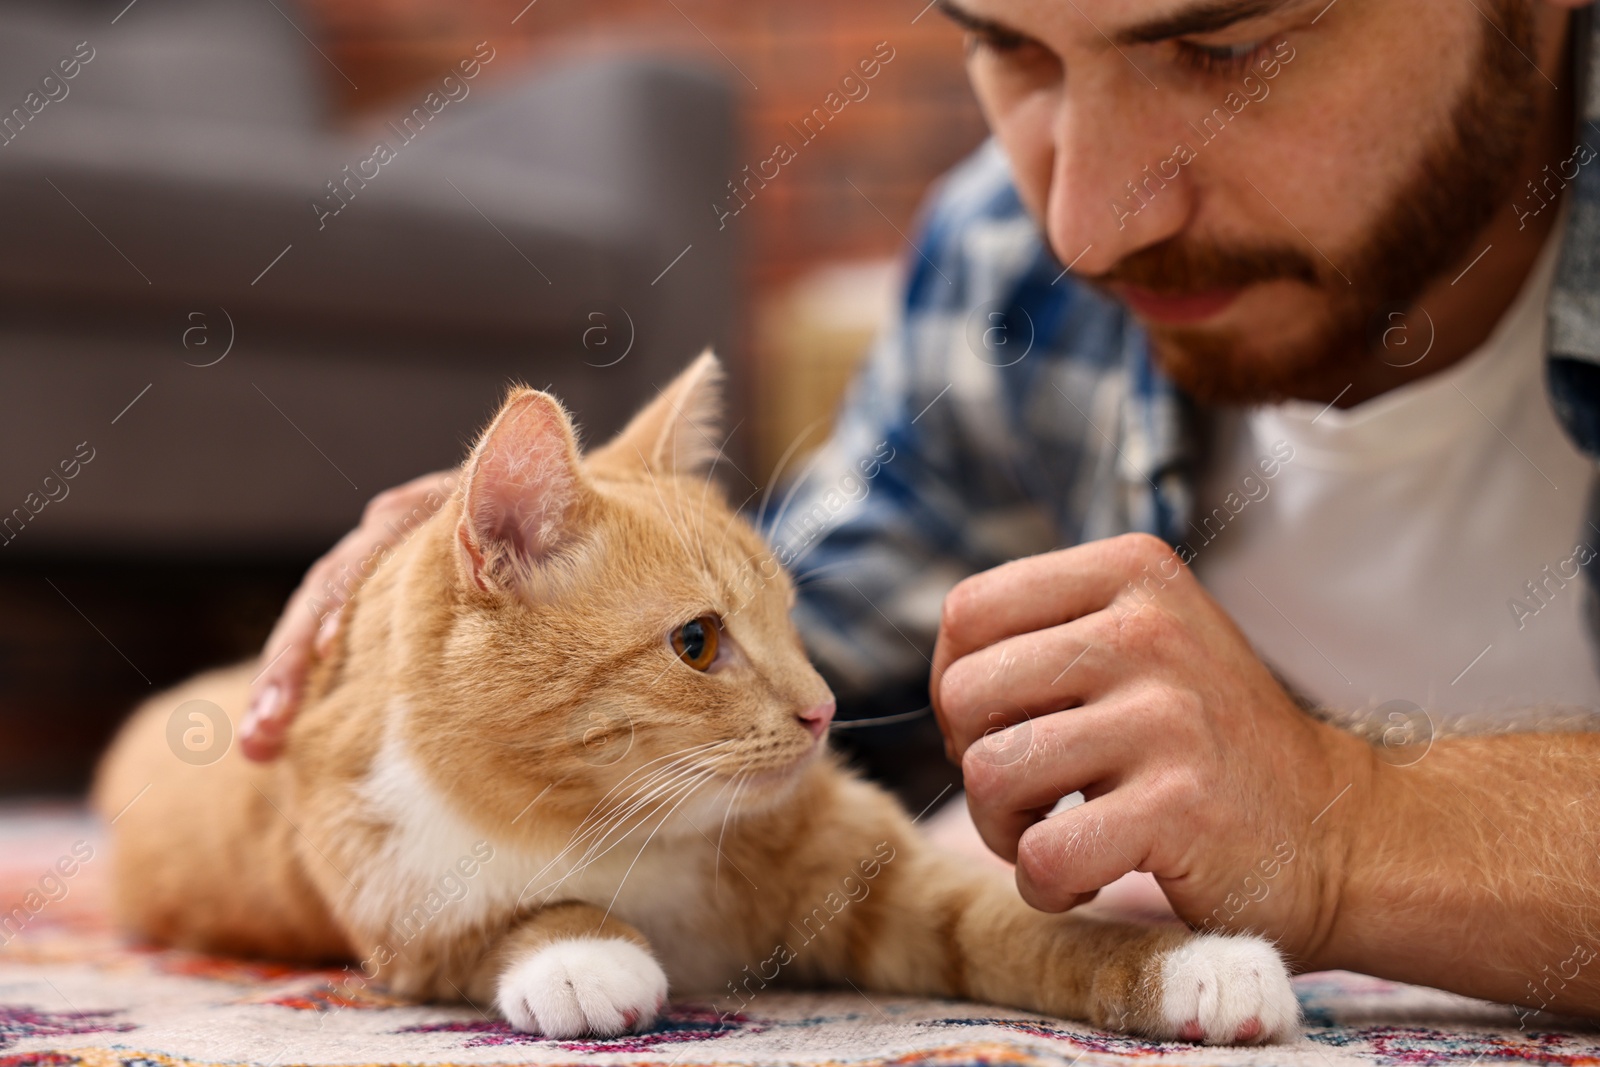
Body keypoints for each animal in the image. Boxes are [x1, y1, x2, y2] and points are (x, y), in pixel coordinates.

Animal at [93, 356, 1299, 1043]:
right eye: (697, 642)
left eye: (789, 618)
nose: (821, 711)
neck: (632, 833)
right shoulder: (405, 922)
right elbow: (515, 918)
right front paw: (583, 950)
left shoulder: (883, 882)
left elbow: (1021, 924)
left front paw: (1190, 962)